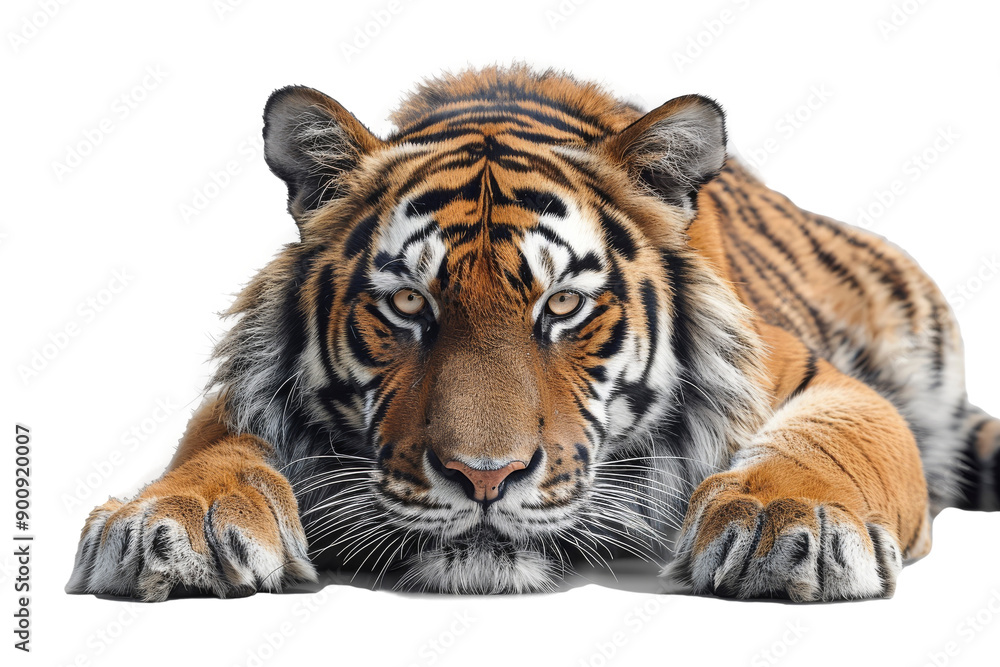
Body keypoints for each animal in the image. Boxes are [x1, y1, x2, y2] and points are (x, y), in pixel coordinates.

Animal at [67, 65, 999, 602]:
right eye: (407, 304)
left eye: (563, 307)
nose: (486, 478)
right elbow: (216, 446)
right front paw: (175, 521)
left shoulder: (814, 376)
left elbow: (836, 437)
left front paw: (787, 522)